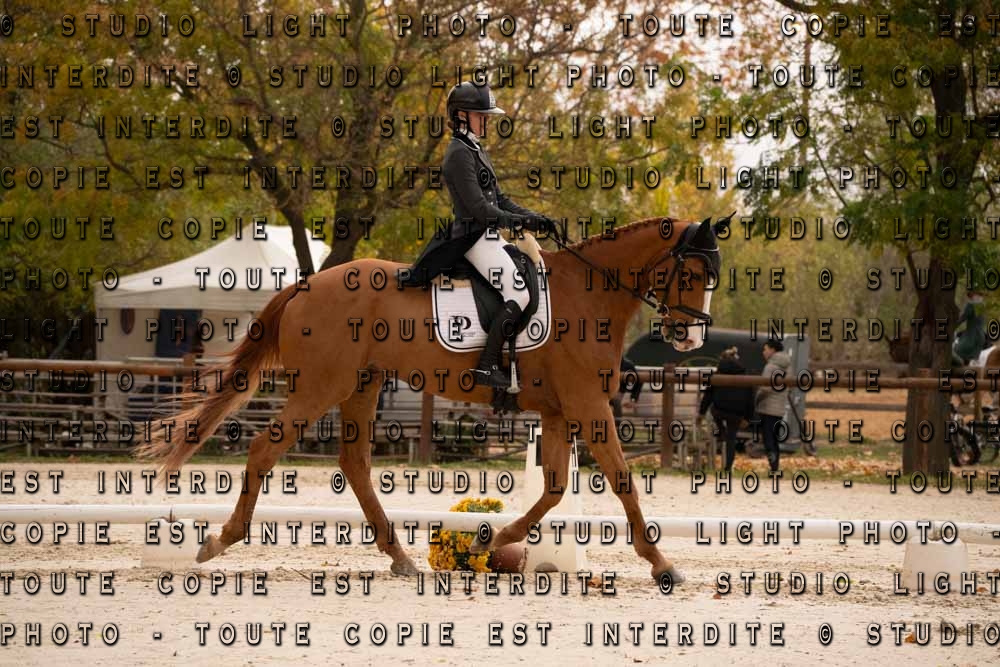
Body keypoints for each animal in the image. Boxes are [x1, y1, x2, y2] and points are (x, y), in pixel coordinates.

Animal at [135, 215, 724, 585]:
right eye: (693, 272)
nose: (690, 340)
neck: (589, 293)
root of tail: (306, 285)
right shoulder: (588, 407)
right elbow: (623, 481)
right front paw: (662, 563)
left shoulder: (561, 412)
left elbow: (556, 490)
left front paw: (493, 540)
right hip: (322, 386)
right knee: (264, 450)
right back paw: (217, 542)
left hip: (363, 384)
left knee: (355, 463)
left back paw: (399, 557)